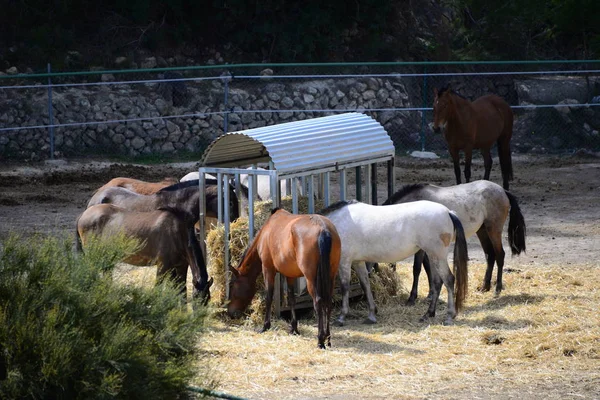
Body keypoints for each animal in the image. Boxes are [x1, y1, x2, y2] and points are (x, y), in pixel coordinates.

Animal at [226, 208, 340, 348]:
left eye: (232, 285)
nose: (230, 312)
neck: (265, 232)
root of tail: (323, 229)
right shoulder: (289, 275)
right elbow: (291, 299)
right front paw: (294, 328)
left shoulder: (268, 269)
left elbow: (269, 296)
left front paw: (265, 326)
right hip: (331, 275)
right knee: (328, 302)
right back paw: (328, 338)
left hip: (311, 278)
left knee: (318, 301)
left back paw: (320, 340)